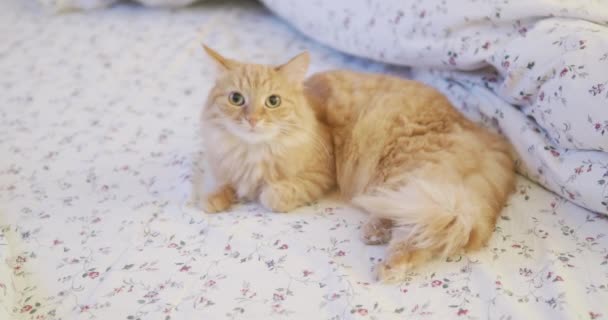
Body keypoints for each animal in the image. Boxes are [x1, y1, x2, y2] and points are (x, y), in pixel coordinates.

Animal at [198, 45, 332, 214]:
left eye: (273, 101)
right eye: (236, 98)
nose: (252, 119)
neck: (253, 152)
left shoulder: (321, 172)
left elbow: (278, 193)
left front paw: (266, 193)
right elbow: (223, 181)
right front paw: (214, 196)